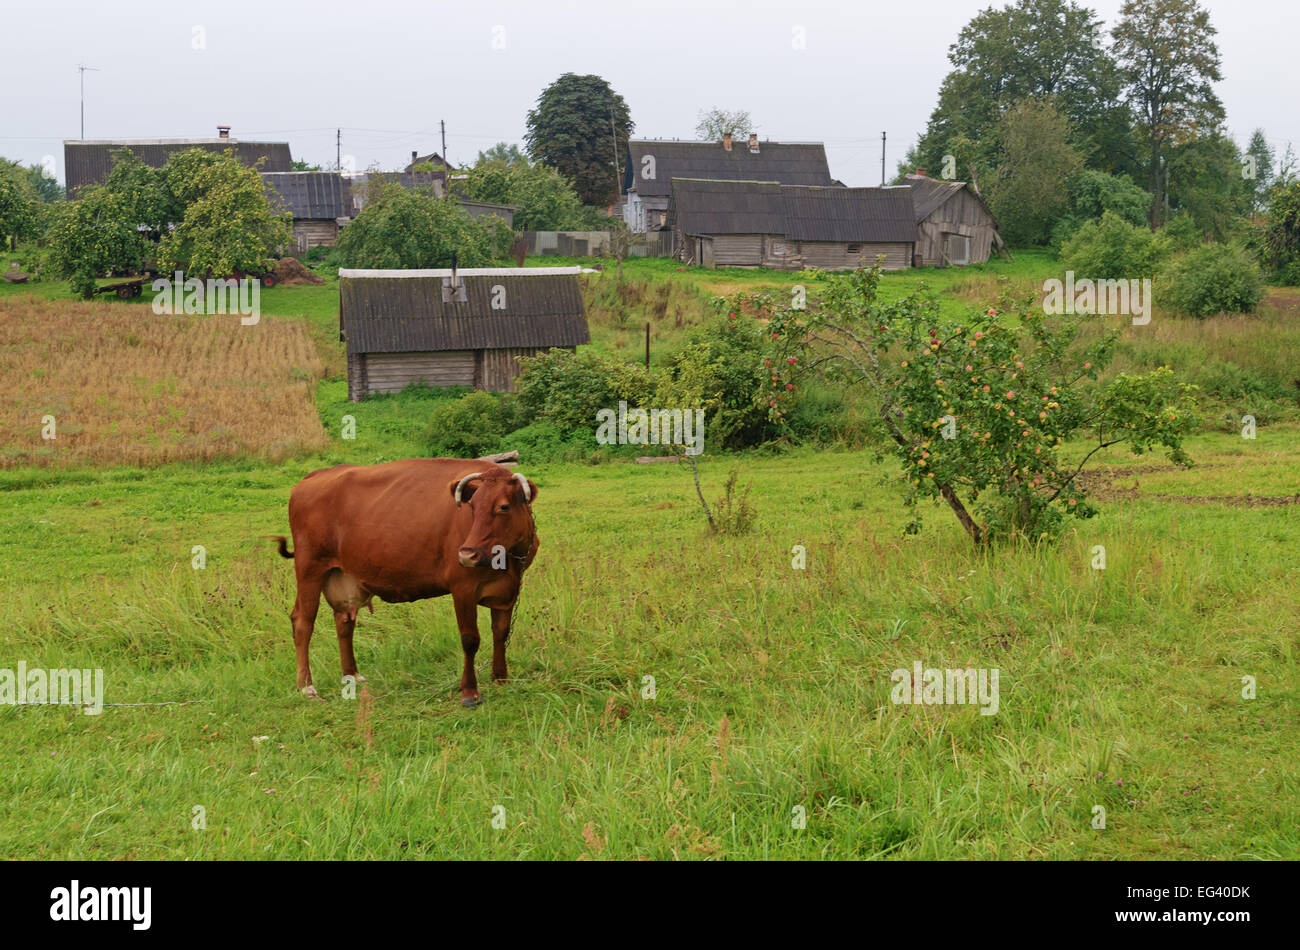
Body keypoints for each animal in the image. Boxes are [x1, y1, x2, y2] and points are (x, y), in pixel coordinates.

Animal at [269, 459, 540, 706]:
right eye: (472, 506)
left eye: (504, 506)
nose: (467, 554)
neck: (507, 563)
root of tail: (314, 475)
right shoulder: (462, 588)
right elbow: (470, 640)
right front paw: (470, 692)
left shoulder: (509, 590)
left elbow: (501, 633)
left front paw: (501, 679)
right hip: (309, 568)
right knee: (303, 622)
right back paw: (306, 687)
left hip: (342, 575)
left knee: (344, 622)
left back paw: (352, 676)